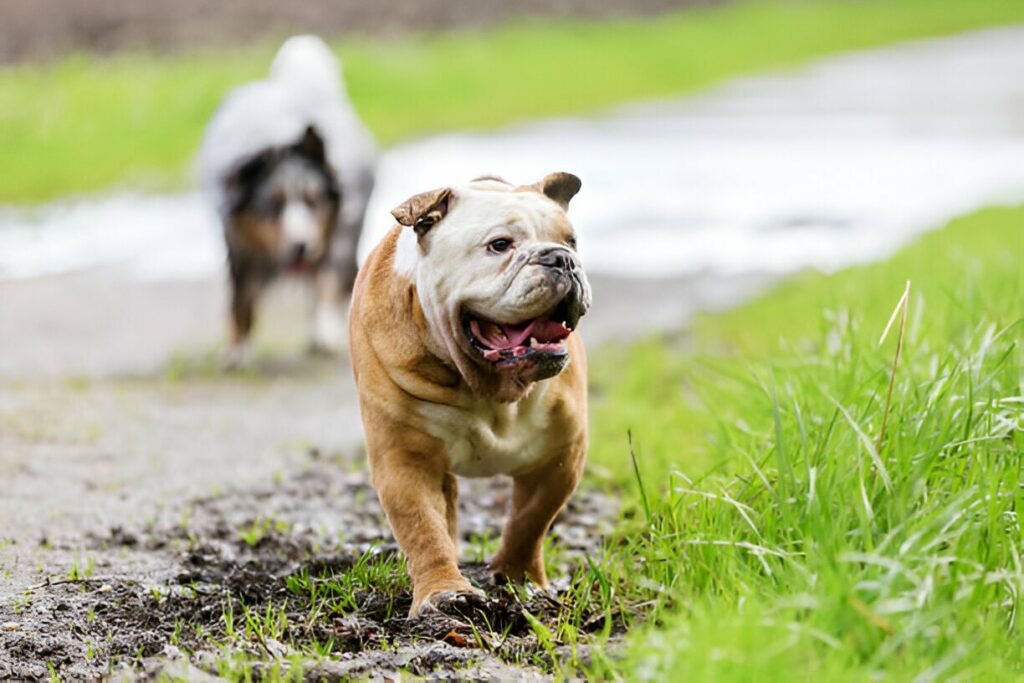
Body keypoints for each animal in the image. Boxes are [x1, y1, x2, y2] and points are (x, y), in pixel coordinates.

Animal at [199, 34, 376, 366]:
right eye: (272, 206)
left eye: (315, 201)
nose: (301, 246)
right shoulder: (238, 248)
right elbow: (241, 301)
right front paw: (237, 351)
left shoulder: (333, 235)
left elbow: (327, 284)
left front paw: (325, 333)